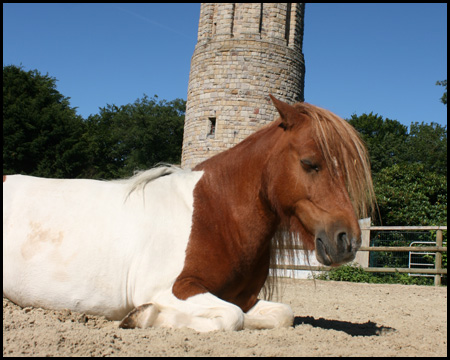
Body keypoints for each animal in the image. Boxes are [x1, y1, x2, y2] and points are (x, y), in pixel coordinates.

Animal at [2, 95, 376, 332]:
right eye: (310, 163)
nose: (347, 241)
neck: (217, 214)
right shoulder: (173, 290)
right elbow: (231, 319)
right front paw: (143, 318)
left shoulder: (244, 298)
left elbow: (281, 314)